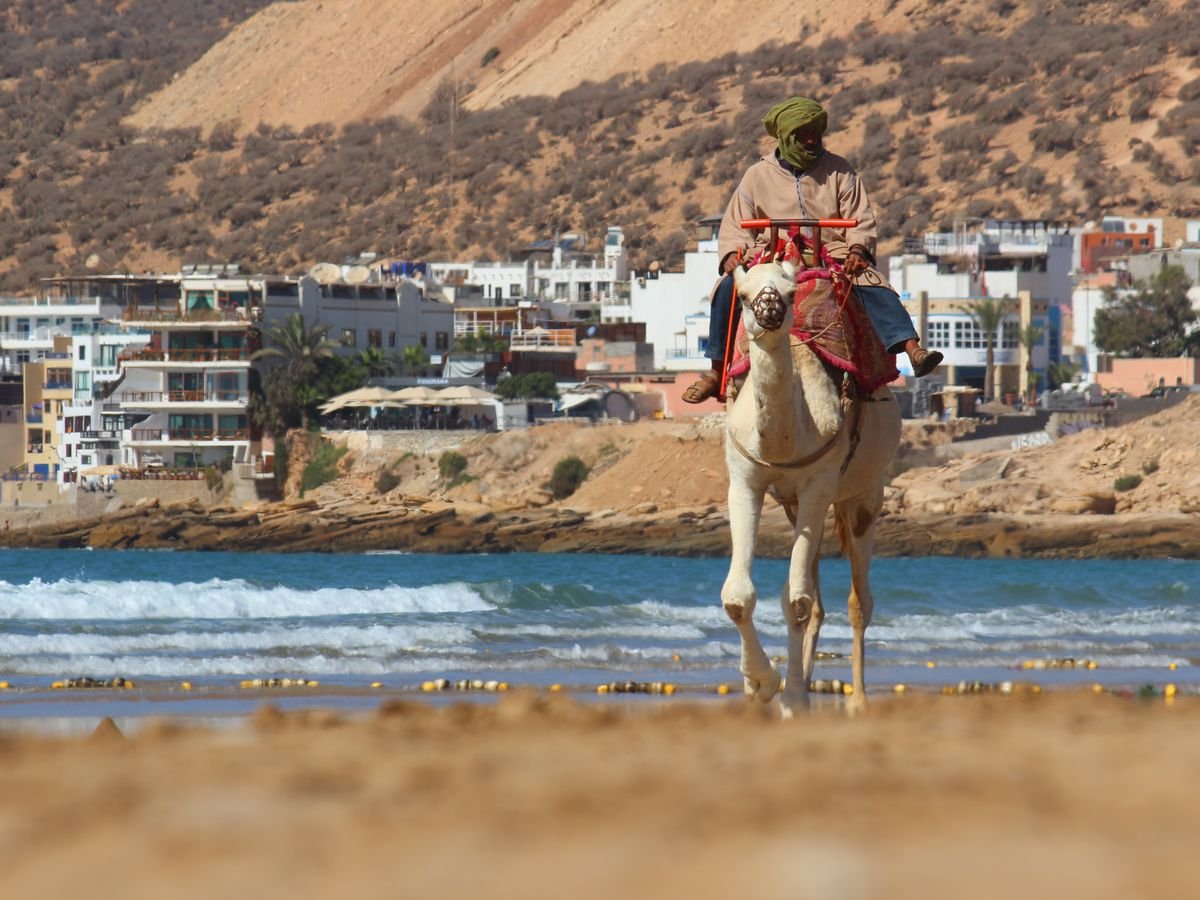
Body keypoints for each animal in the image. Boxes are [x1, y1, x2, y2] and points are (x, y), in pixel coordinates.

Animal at [721, 258, 901, 717]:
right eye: (743, 295)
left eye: (789, 293)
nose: (770, 311)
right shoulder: (745, 481)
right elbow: (741, 597)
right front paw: (760, 685)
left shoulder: (818, 485)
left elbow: (798, 602)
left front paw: (791, 697)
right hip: (796, 506)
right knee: (814, 601)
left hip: (864, 496)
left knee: (859, 601)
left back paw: (857, 700)